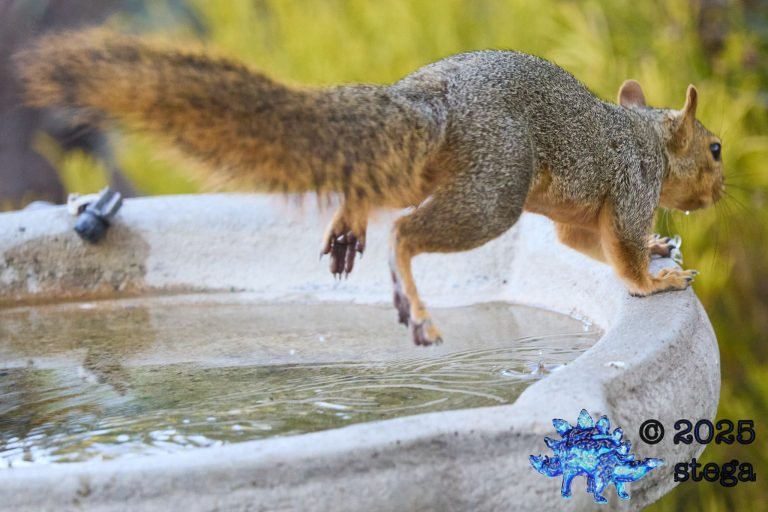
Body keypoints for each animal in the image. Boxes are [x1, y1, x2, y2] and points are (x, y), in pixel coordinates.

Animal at [14, 30, 725, 346]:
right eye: (716, 149)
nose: (722, 190)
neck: (646, 133)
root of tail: (431, 99)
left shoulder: (581, 217)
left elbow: (582, 242)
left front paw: (660, 248)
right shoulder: (631, 187)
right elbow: (618, 254)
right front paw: (656, 276)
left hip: (424, 167)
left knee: (373, 189)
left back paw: (349, 226)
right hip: (494, 189)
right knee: (407, 233)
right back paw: (412, 297)